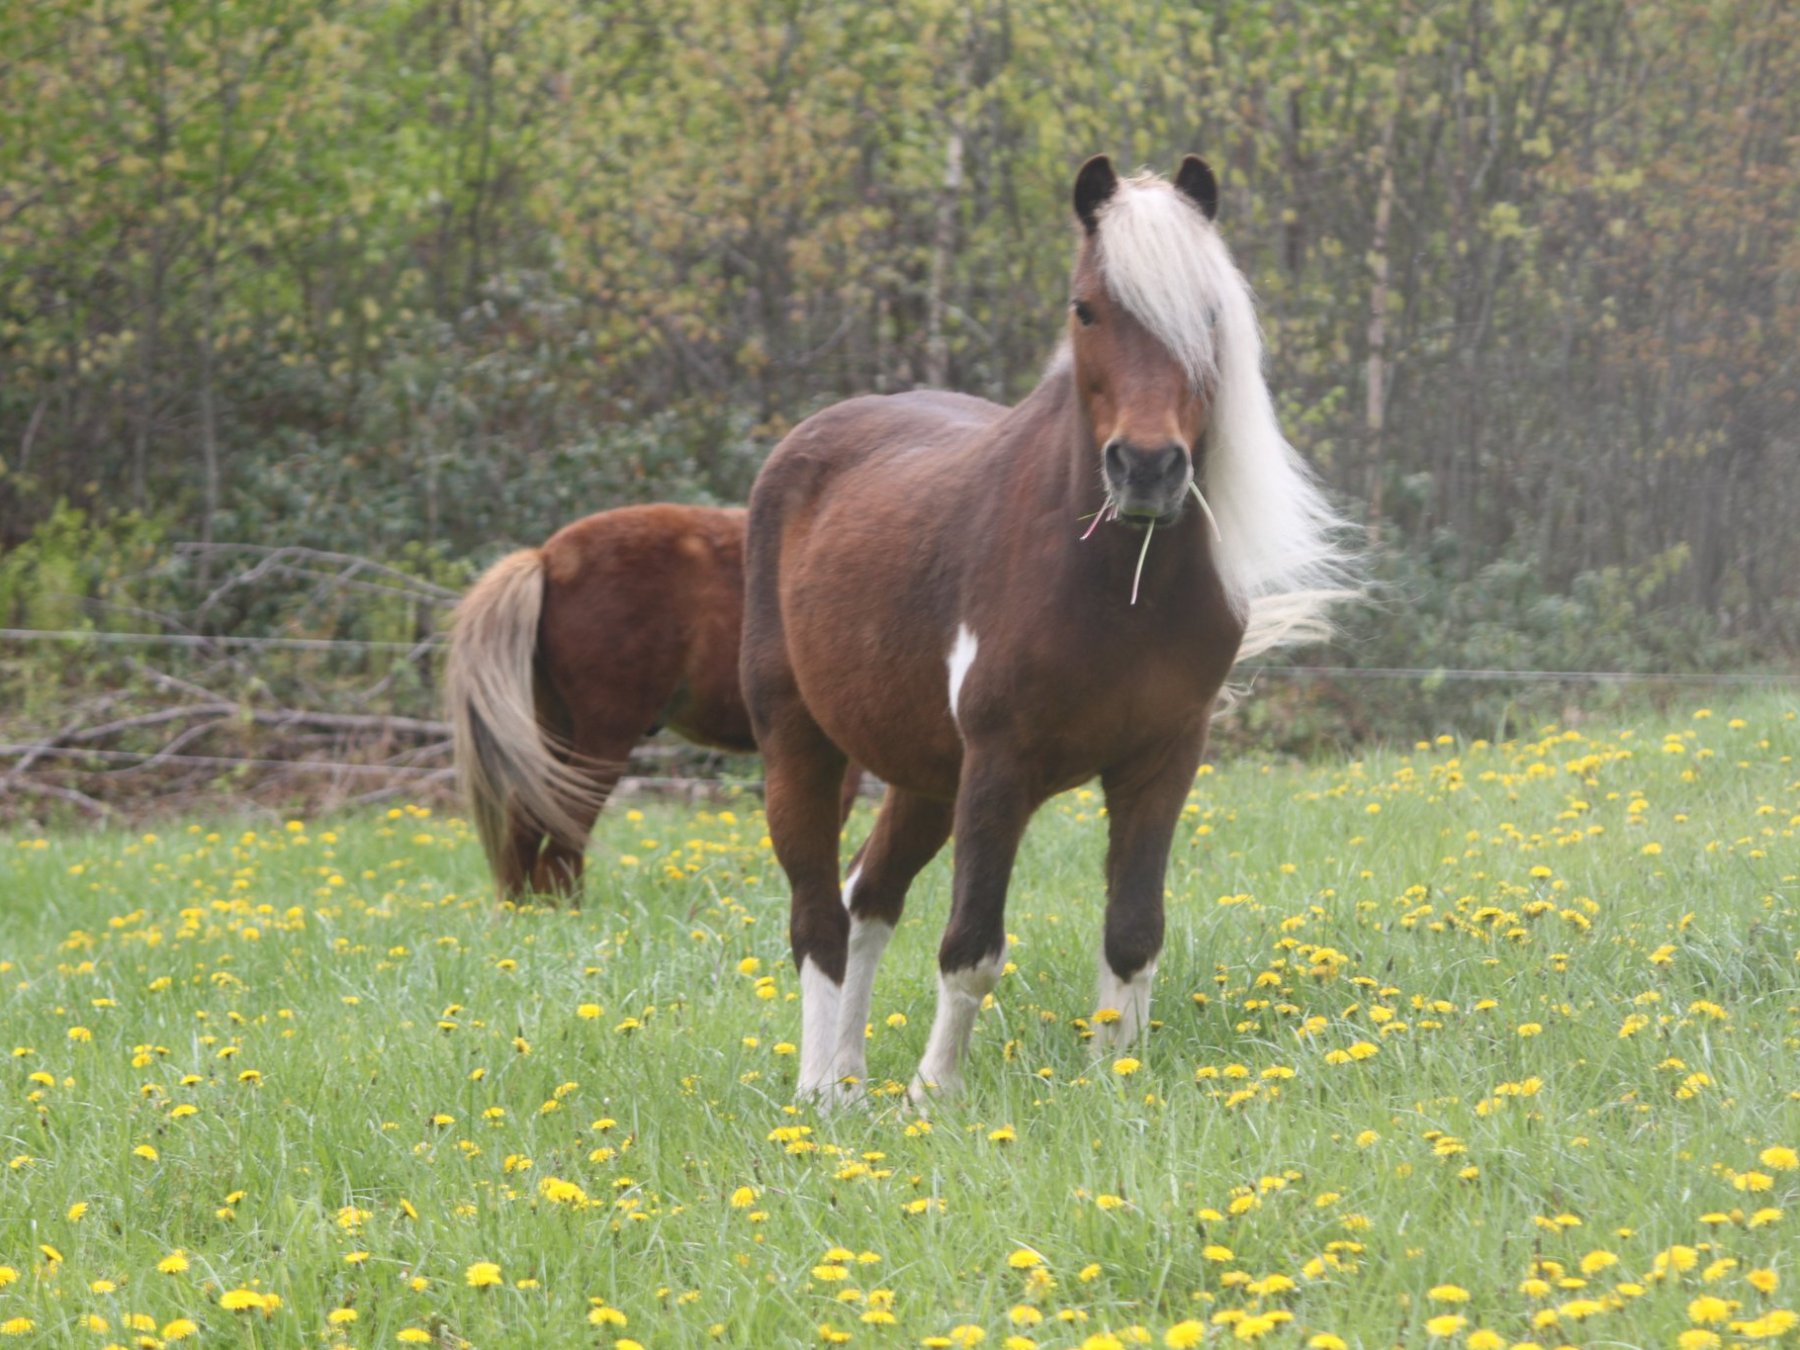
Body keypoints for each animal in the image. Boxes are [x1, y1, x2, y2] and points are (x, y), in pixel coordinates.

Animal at [439, 507, 853, 910]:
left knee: (527, 814)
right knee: (566, 819)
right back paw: (569, 908)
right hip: (604, 738)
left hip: (553, 728)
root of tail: (548, 558)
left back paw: (521, 907)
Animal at [741, 153, 1353, 1101]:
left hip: (923, 774)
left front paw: (1114, 1080)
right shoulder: (1000, 765)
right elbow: (972, 948)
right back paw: (821, 1095)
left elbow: (1133, 934)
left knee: (867, 897)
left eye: (1210, 314)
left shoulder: (1161, 763)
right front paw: (934, 1095)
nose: (1148, 468)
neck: (1115, 588)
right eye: (1086, 307)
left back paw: (850, 1080)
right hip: (798, 744)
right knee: (818, 920)